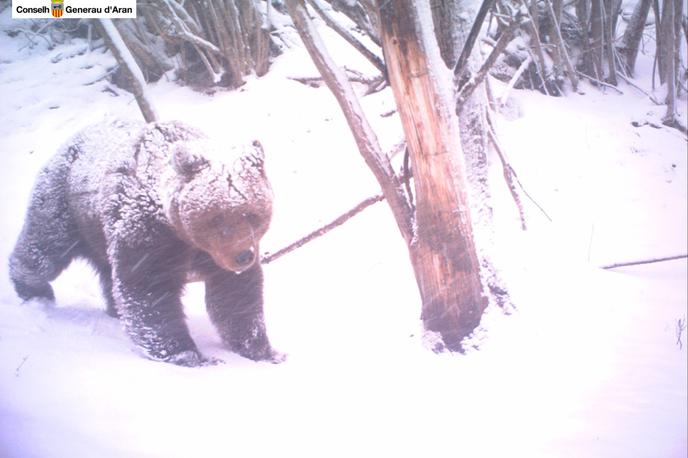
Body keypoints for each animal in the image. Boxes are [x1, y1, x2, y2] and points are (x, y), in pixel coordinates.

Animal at [8, 120, 282, 366]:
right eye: (216, 217)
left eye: (253, 213)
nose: (243, 256)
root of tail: (74, 138)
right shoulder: (148, 235)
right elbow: (149, 289)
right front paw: (187, 354)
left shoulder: (214, 253)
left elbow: (235, 293)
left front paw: (262, 350)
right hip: (66, 205)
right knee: (44, 250)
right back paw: (34, 290)